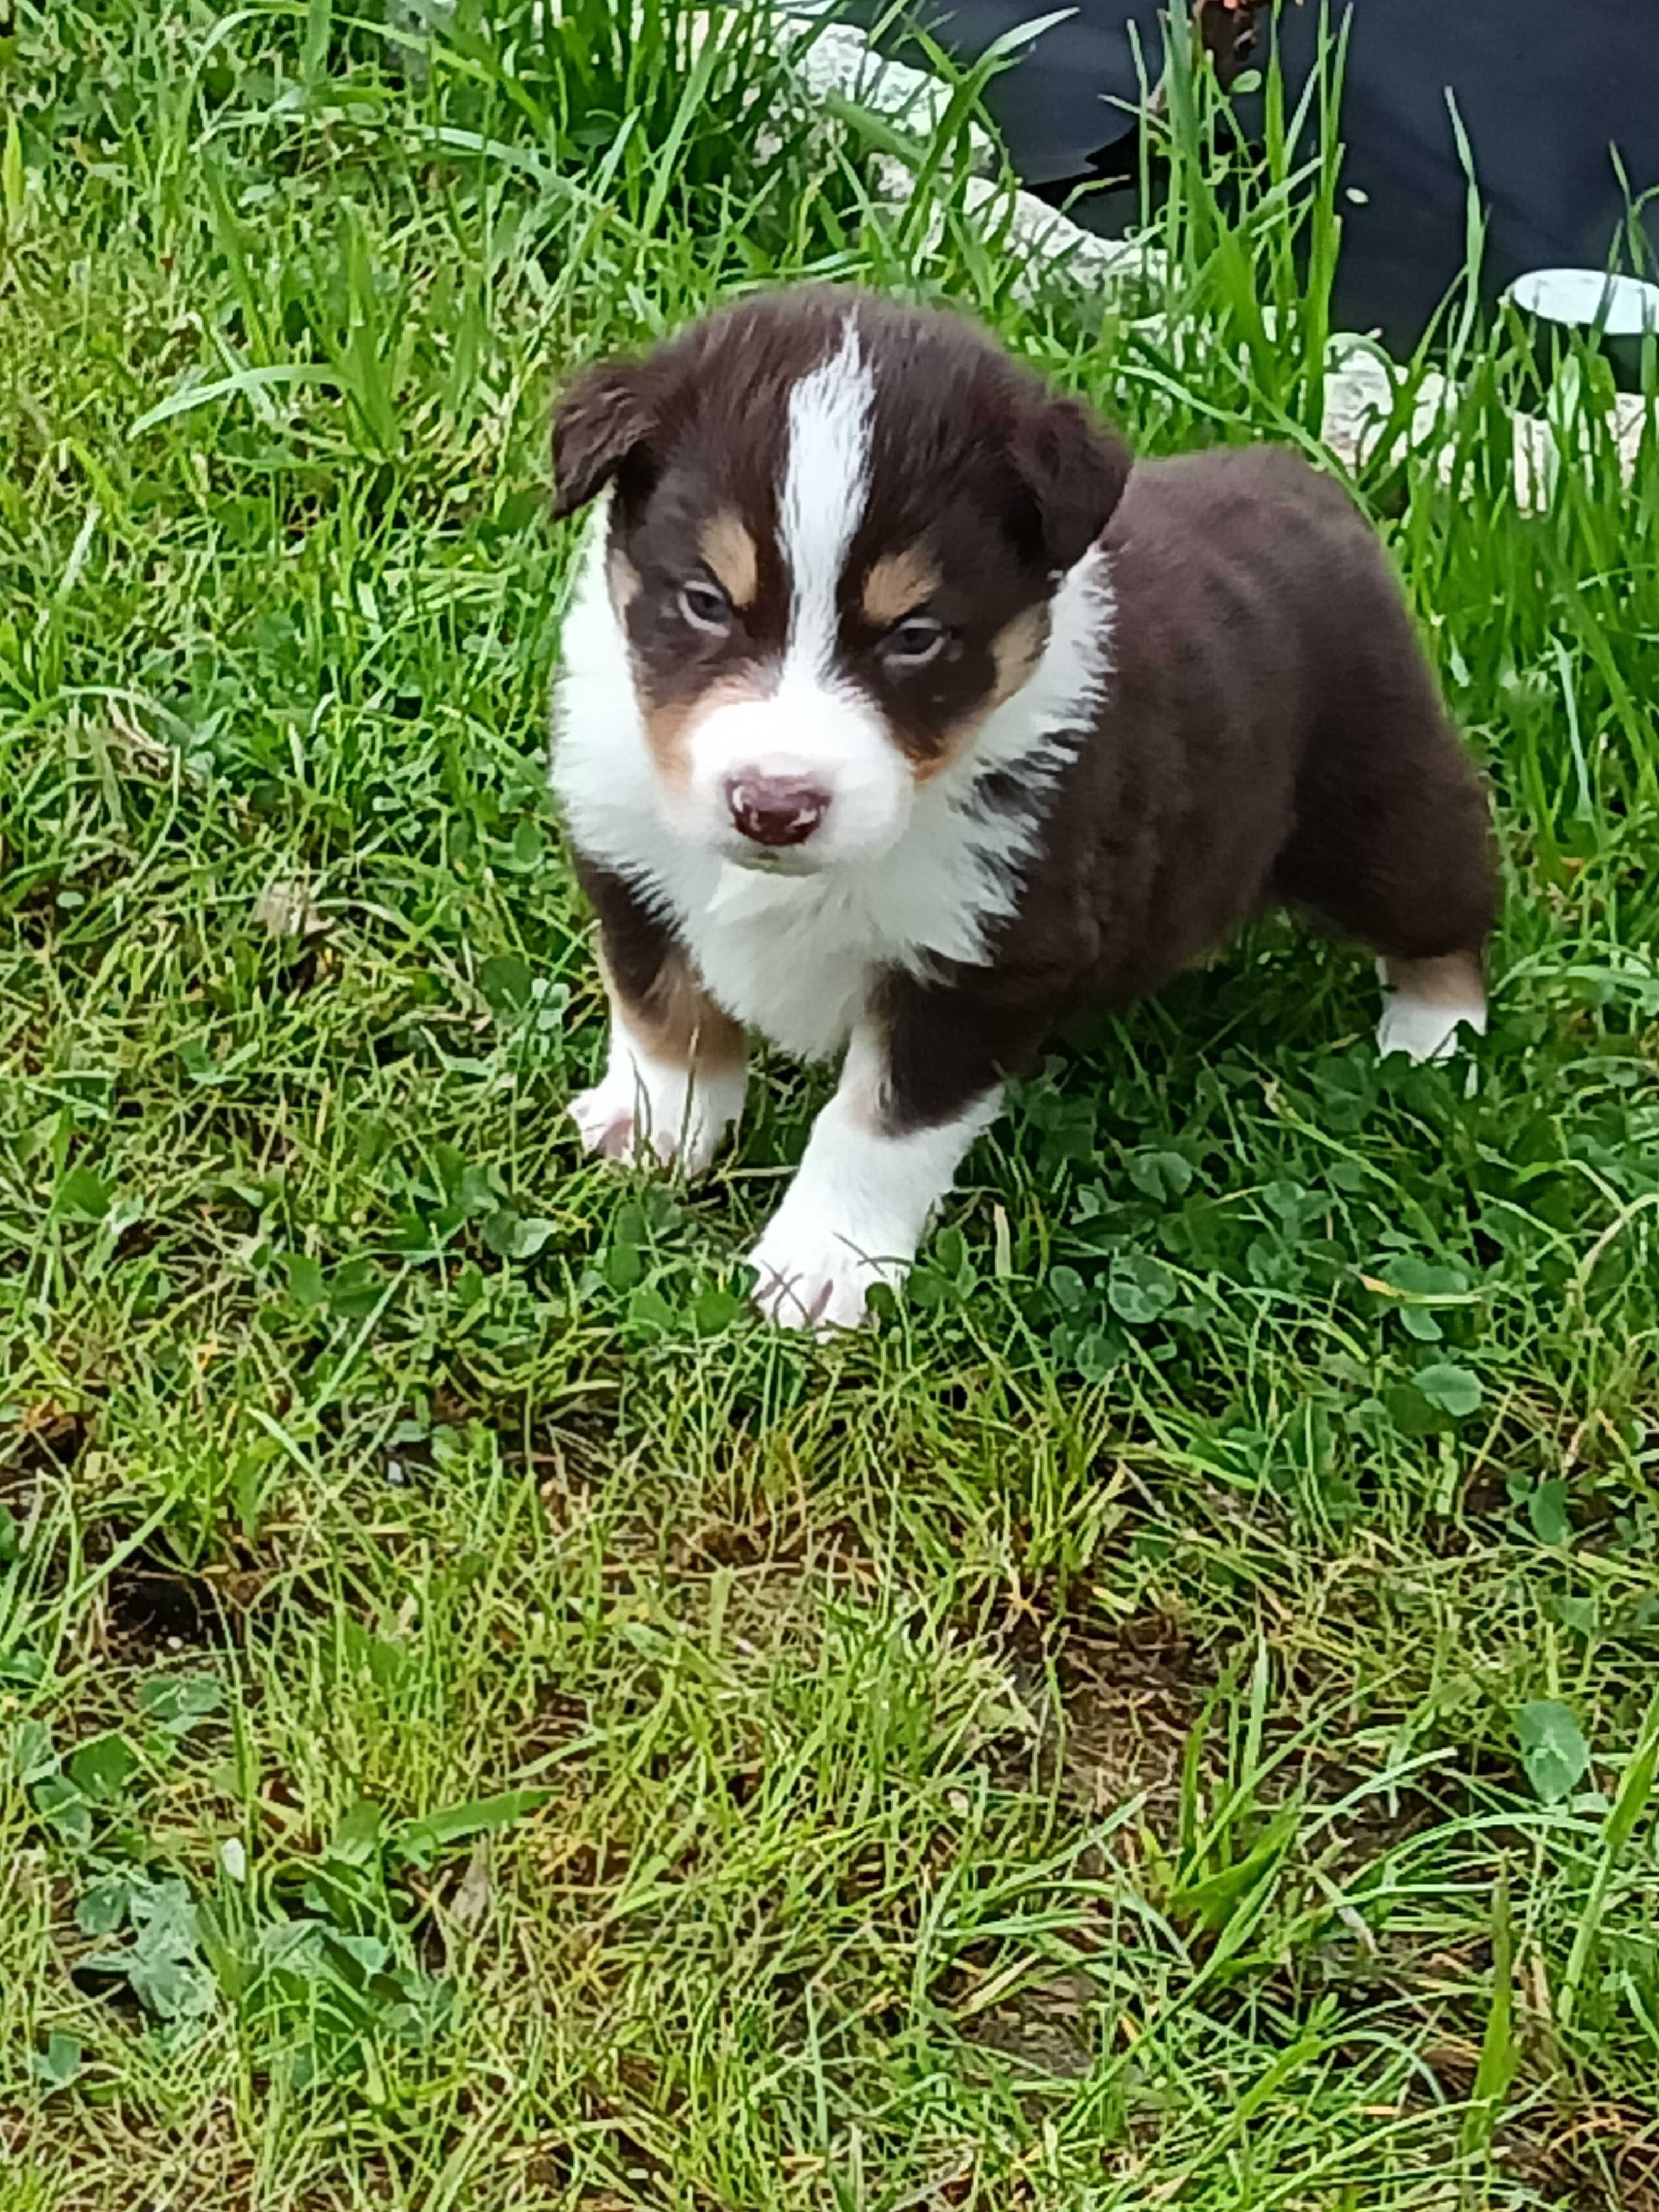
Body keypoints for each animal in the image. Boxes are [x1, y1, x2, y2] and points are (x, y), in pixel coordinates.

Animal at [549, 294, 1504, 1327]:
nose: (774, 806)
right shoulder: (628, 860)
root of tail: (1303, 485)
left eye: (917, 638)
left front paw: (824, 1266)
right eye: (704, 602)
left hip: (1379, 807)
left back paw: (1431, 1043)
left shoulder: (983, 961)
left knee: (1449, 912)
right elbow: (663, 1016)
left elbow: (878, 1127)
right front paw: (651, 1131)